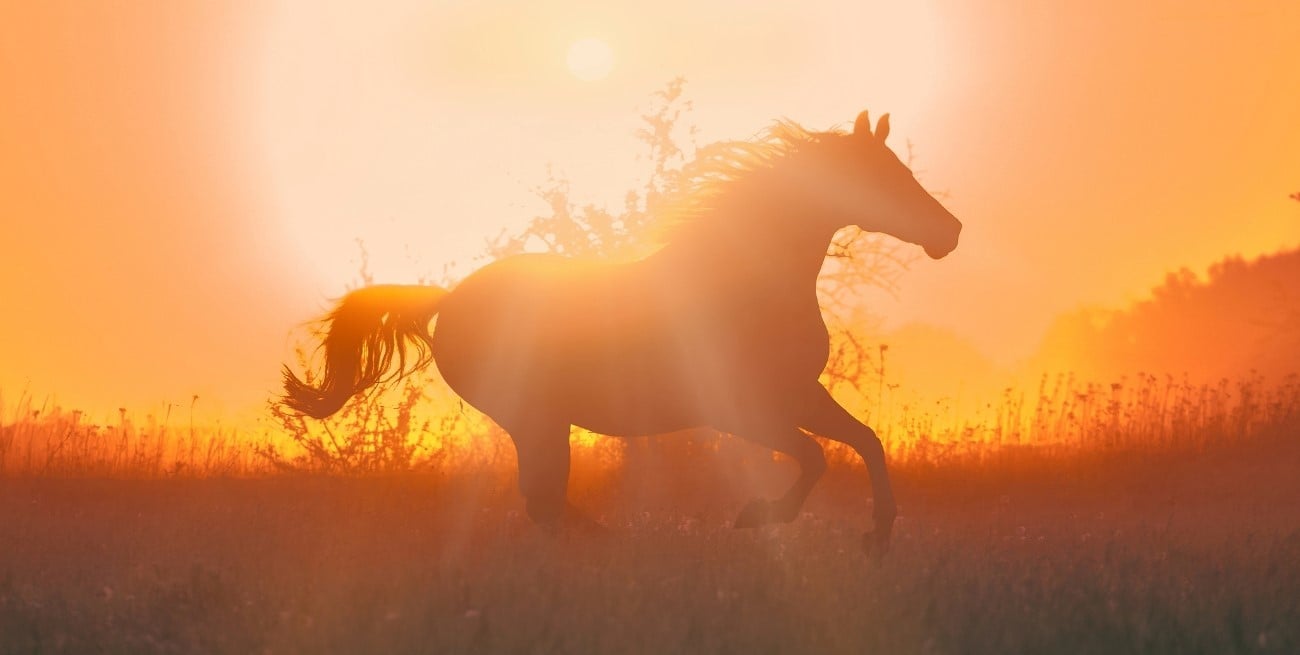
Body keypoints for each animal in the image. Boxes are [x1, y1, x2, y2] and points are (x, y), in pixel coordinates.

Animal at [282, 110, 961, 557]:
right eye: (883, 176)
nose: (949, 232)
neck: (745, 282)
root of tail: (450, 299)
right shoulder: (735, 409)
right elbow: (816, 456)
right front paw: (755, 516)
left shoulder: (796, 395)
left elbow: (866, 442)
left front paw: (877, 534)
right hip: (535, 418)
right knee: (543, 499)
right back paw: (608, 549)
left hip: (542, 422)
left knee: (544, 499)